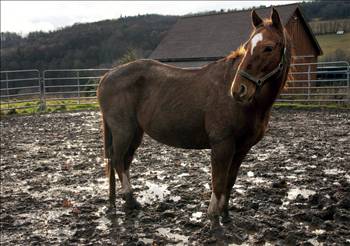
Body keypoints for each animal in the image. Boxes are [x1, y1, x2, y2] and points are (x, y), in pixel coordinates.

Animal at [97, 8, 292, 231]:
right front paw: (214, 218)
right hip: (124, 131)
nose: (238, 90)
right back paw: (130, 200)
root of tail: (107, 75)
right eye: (247, 46)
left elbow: (230, 181)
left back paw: (119, 202)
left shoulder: (242, 148)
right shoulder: (222, 144)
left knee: (124, 162)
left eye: (268, 47)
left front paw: (226, 215)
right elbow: (218, 181)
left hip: (135, 133)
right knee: (118, 161)